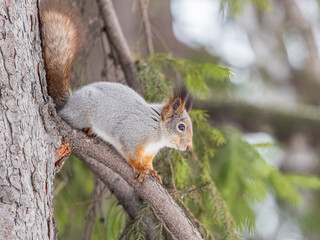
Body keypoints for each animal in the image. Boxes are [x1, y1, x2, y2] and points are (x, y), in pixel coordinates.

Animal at [41, 1, 194, 183]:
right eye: (181, 127)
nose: (189, 146)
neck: (158, 133)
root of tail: (69, 102)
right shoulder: (132, 134)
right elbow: (130, 154)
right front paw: (139, 168)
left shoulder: (149, 152)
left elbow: (148, 162)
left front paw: (152, 171)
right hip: (80, 112)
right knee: (67, 116)